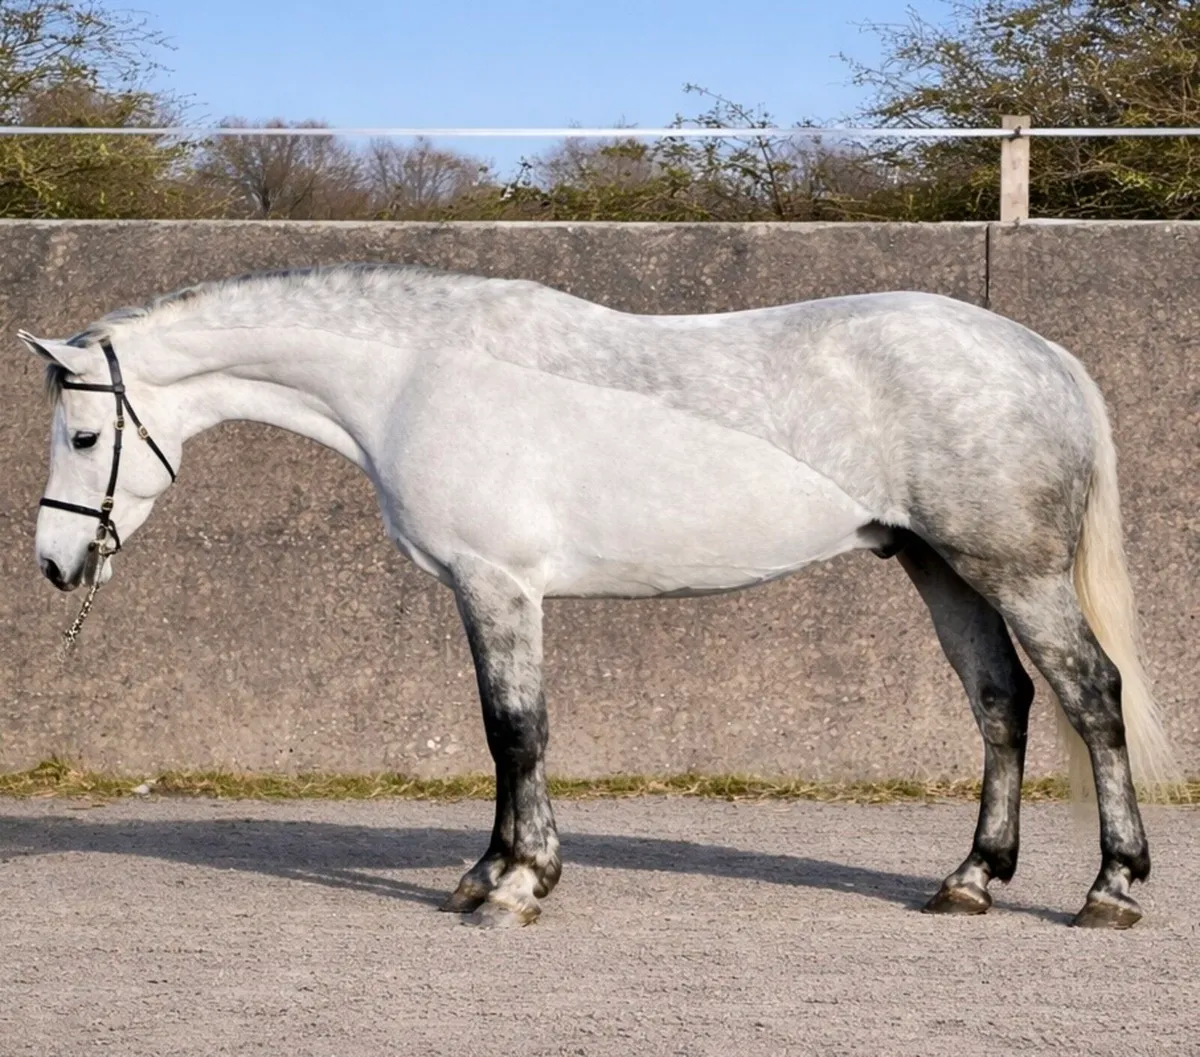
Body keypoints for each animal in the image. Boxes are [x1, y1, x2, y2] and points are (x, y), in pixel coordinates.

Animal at [20, 262, 1176, 930]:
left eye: (82, 433)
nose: (55, 563)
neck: (424, 374)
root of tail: (1041, 353)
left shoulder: (498, 584)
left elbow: (516, 730)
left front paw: (519, 884)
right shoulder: (484, 591)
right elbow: (501, 735)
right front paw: (486, 871)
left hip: (1015, 571)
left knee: (1091, 696)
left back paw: (1111, 888)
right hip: (942, 568)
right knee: (1001, 704)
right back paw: (971, 878)